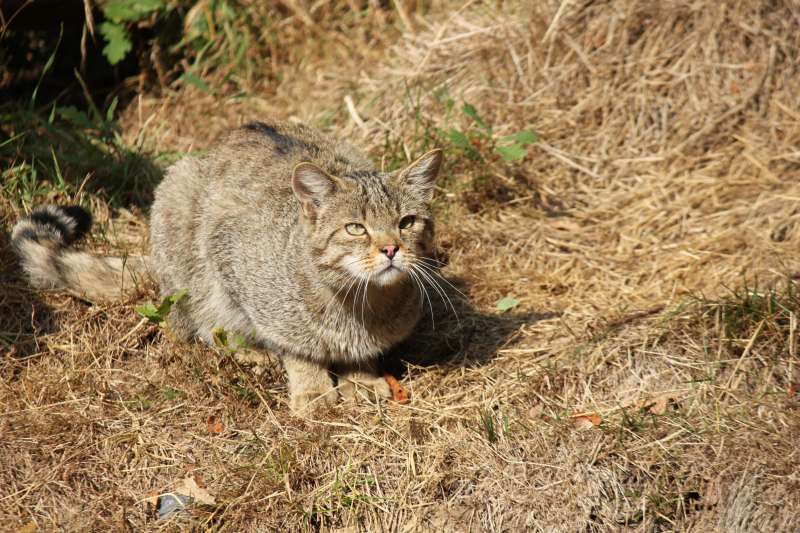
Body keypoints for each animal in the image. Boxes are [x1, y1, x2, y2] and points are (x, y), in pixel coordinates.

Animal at [10, 120, 444, 412]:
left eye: (406, 222)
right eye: (355, 228)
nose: (391, 248)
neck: (360, 304)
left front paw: (363, 376)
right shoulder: (231, 257)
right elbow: (295, 348)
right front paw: (313, 390)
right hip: (183, 229)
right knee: (195, 326)